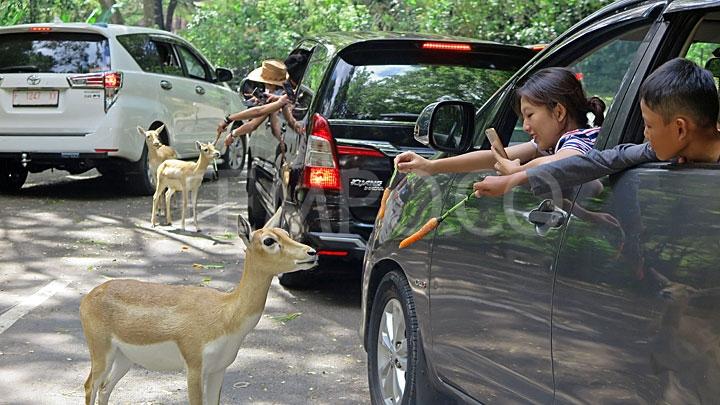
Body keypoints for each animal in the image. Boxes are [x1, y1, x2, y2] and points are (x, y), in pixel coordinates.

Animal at [80, 213, 316, 402]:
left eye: (285, 232)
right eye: (269, 240)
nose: (312, 252)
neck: (225, 315)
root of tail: (88, 298)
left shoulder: (219, 369)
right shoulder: (194, 368)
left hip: (124, 358)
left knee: (105, 388)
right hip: (101, 352)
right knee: (90, 385)